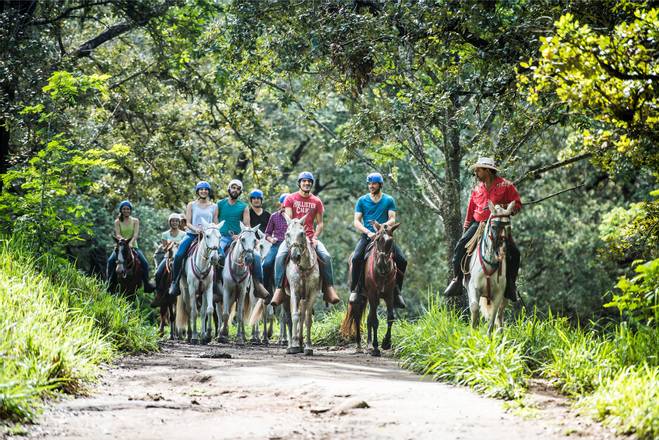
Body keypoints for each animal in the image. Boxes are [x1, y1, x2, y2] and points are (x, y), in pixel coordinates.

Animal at [282, 215, 320, 356]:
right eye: (287, 234)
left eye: (302, 233)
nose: (295, 256)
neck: (303, 268)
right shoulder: (294, 291)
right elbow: (294, 315)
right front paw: (293, 345)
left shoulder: (312, 293)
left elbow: (308, 318)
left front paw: (308, 346)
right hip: (285, 296)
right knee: (287, 317)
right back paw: (290, 345)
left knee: (303, 315)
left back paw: (301, 343)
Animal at [342, 222, 400, 356]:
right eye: (377, 239)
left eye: (391, 241)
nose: (382, 265)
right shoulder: (373, 294)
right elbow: (375, 320)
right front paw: (376, 347)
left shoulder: (389, 295)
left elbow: (390, 317)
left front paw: (386, 342)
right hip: (361, 296)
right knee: (358, 318)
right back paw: (359, 346)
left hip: (368, 297)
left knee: (368, 318)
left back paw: (368, 345)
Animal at [466, 201, 520, 336]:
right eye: (494, 226)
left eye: (509, 227)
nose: (502, 251)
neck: (490, 263)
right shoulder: (473, 288)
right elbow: (475, 308)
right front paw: (473, 333)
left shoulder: (499, 294)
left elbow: (493, 317)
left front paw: (489, 337)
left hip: (506, 296)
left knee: (500, 316)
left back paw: (500, 335)